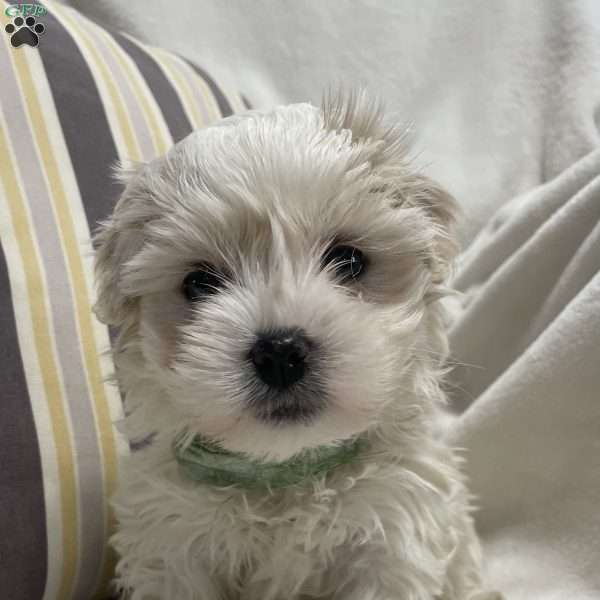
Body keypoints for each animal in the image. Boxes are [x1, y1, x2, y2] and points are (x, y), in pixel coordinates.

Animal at [94, 90, 500, 600]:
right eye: (199, 284)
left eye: (350, 261)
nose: (280, 352)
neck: (285, 474)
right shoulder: (171, 543)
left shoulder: (391, 535)